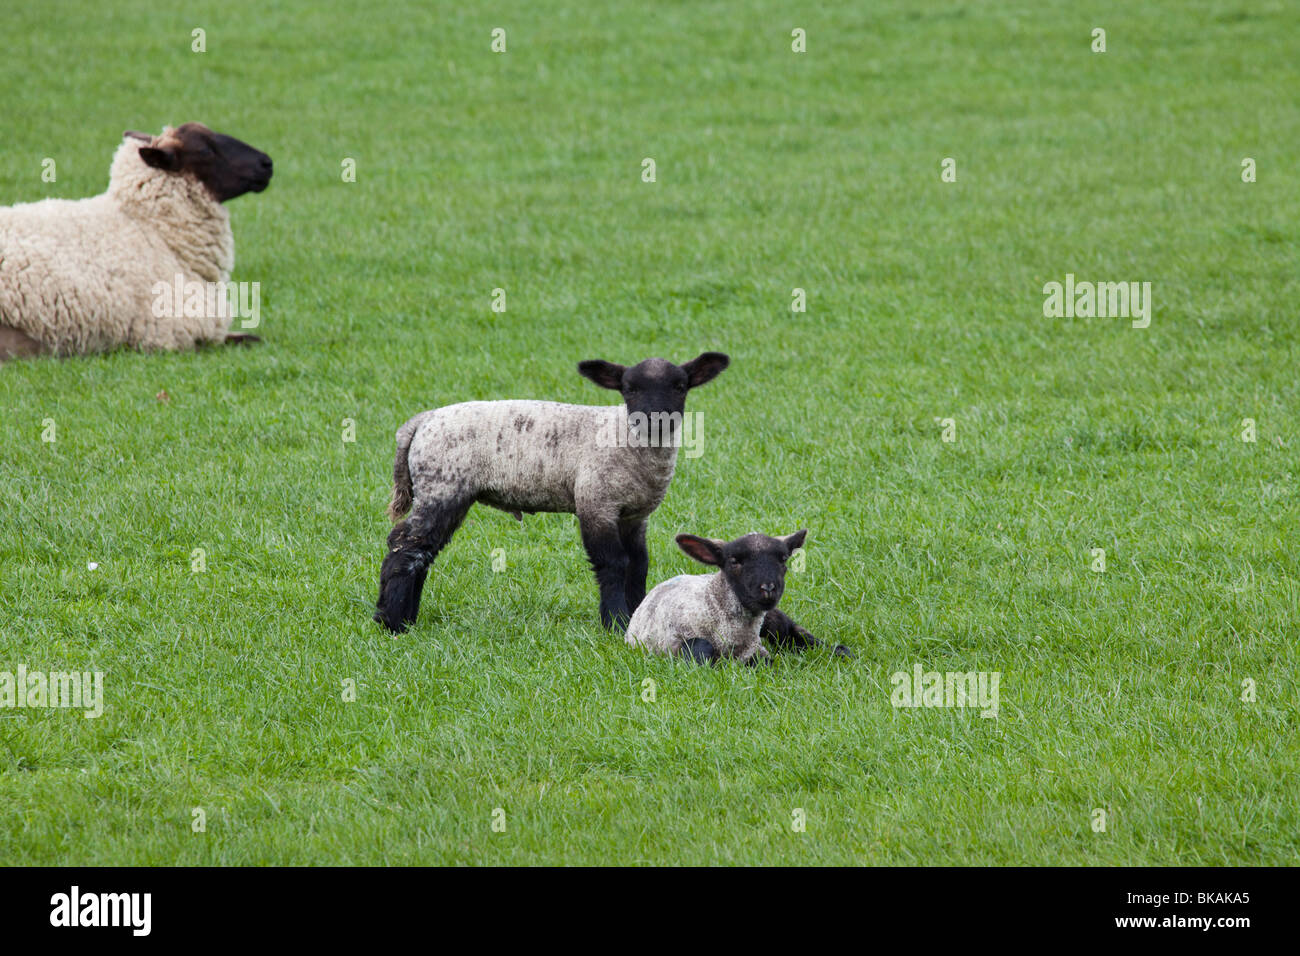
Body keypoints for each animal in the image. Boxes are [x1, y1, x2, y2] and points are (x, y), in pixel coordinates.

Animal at [374, 352, 731, 633]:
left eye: (680, 387)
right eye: (629, 389)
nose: (654, 420)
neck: (627, 442)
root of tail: (420, 423)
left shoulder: (634, 515)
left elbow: (639, 563)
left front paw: (638, 613)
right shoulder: (595, 501)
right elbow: (614, 563)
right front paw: (616, 623)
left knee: (422, 550)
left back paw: (405, 618)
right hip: (442, 485)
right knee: (406, 546)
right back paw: (391, 622)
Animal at [626, 530, 852, 663]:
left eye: (783, 559)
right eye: (734, 561)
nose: (768, 587)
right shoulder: (675, 641)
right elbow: (702, 648)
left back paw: (839, 651)